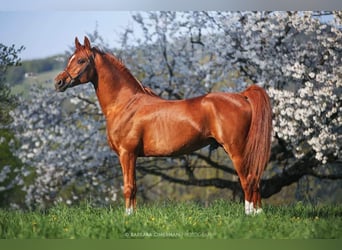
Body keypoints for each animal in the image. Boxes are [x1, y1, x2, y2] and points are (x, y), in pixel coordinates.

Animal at [54, 36, 272, 215]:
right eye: (70, 59)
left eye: (81, 60)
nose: (59, 82)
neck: (125, 104)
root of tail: (241, 95)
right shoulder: (132, 156)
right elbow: (134, 187)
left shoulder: (127, 153)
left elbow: (128, 187)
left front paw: (127, 218)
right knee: (255, 179)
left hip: (237, 150)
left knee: (248, 179)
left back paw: (250, 215)